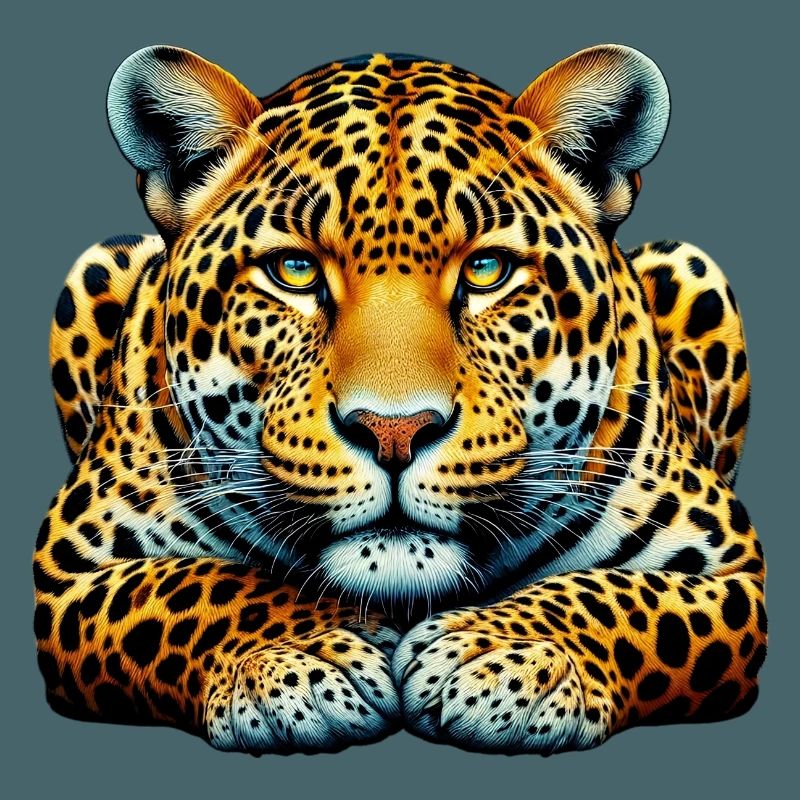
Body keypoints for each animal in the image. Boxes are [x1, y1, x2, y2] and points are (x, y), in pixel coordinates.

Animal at [34, 43, 766, 755]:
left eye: (487, 270)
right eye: (294, 270)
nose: (394, 432)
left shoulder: (733, 571)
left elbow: (616, 597)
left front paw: (505, 656)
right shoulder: (68, 569)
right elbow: (197, 585)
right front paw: (306, 657)